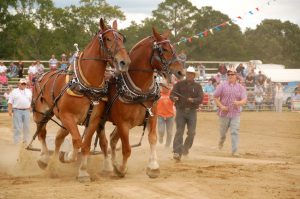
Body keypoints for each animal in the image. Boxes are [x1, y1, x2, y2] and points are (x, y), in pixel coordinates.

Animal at [31, 18, 131, 179]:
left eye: (122, 39)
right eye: (108, 39)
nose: (124, 62)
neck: (87, 84)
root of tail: (42, 75)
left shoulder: (93, 119)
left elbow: (85, 145)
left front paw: (83, 172)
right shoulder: (68, 116)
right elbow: (78, 141)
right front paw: (69, 156)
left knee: (58, 138)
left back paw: (53, 166)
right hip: (41, 114)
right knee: (42, 134)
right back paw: (44, 158)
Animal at [92, 27, 184, 178]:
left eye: (173, 48)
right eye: (164, 49)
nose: (181, 72)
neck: (141, 90)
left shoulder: (153, 117)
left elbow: (152, 139)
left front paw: (153, 167)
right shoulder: (123, 123)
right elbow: (127, 149)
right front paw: (122, 169)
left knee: (112, 139)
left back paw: (114, 163)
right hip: (100, 120)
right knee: (103, 141)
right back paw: (108, 167)